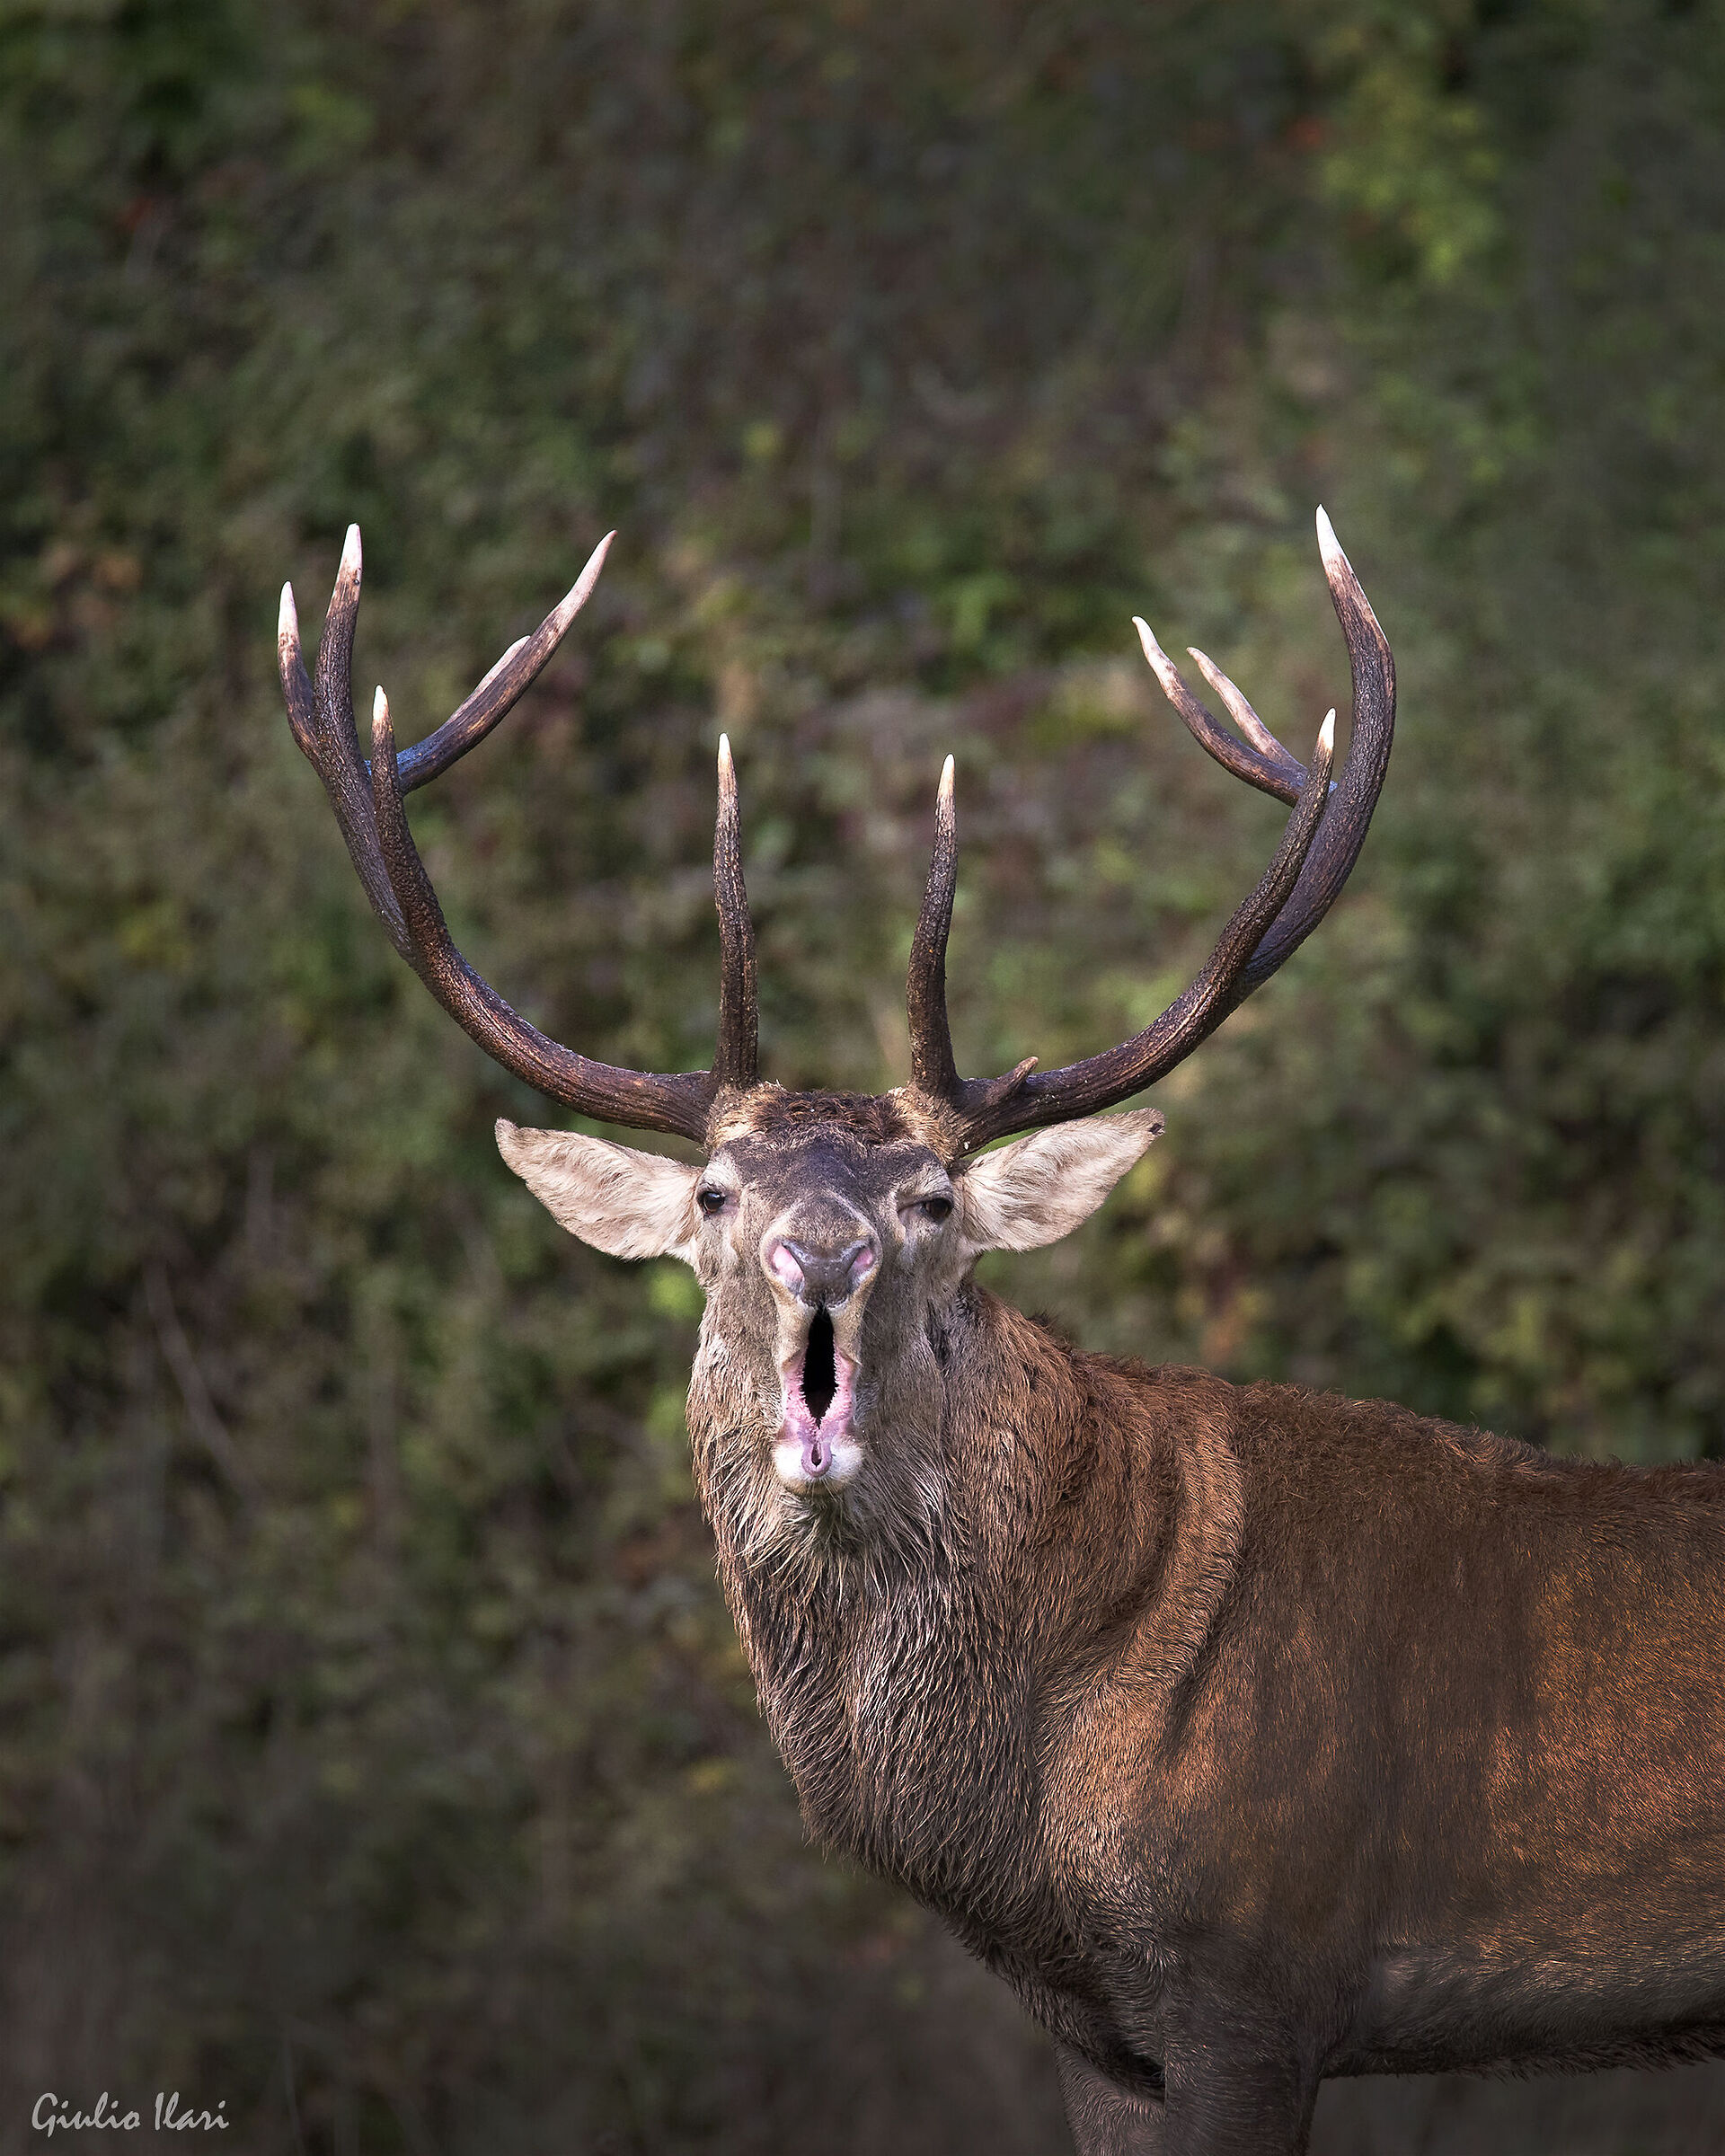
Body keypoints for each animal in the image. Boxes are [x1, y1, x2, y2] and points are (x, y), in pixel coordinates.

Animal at [278, 510, 1725, 2156]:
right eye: (715, 1192)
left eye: (931, 1201)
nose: (821, 1252)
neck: (1023, 1837)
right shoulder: (1101, 2034)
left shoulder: (1260, 1971)